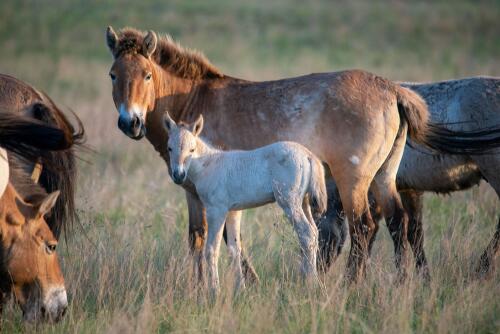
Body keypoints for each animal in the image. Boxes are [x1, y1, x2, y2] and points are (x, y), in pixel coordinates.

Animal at [164, 113, 328, 292]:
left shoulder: (216, 210)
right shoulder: (233, 211)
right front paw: (240, 290)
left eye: (192, 149)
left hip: (289, 202)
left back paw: (310, 283)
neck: (208, 164)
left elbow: (212, 249)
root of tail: (308, 155)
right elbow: (234, 249)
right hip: (303, 202)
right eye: (169, 148)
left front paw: (215, 291)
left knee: (306, 234)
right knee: (314, 232)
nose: (178, 175)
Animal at [316, 77, 500, 278]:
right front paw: (424, 277)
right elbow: (414, 233)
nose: (319, 268)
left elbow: (377, 231)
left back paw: (482, 268)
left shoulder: (375, 193)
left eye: (319, 235)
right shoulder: (409, 190)